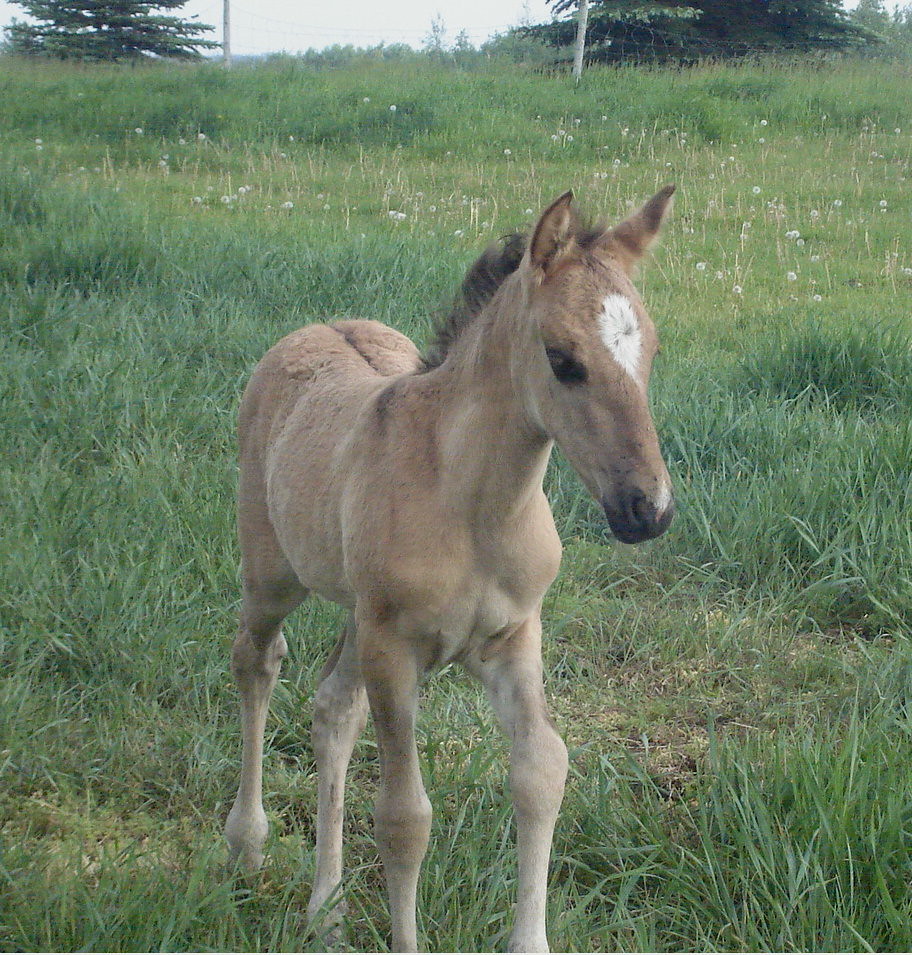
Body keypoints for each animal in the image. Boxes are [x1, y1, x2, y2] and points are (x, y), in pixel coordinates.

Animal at [224, 185, 676, 952]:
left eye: (649, 348)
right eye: (564, 360)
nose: (648, 508)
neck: (473, 507)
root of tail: (312, 329)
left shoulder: (514, 637)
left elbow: (542, 772)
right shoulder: (394, 649)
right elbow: (404, 818)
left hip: (357, 612)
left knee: (332, 708)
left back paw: (326, 906)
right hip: (273, 575)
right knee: (258, 661)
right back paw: (248, 842)